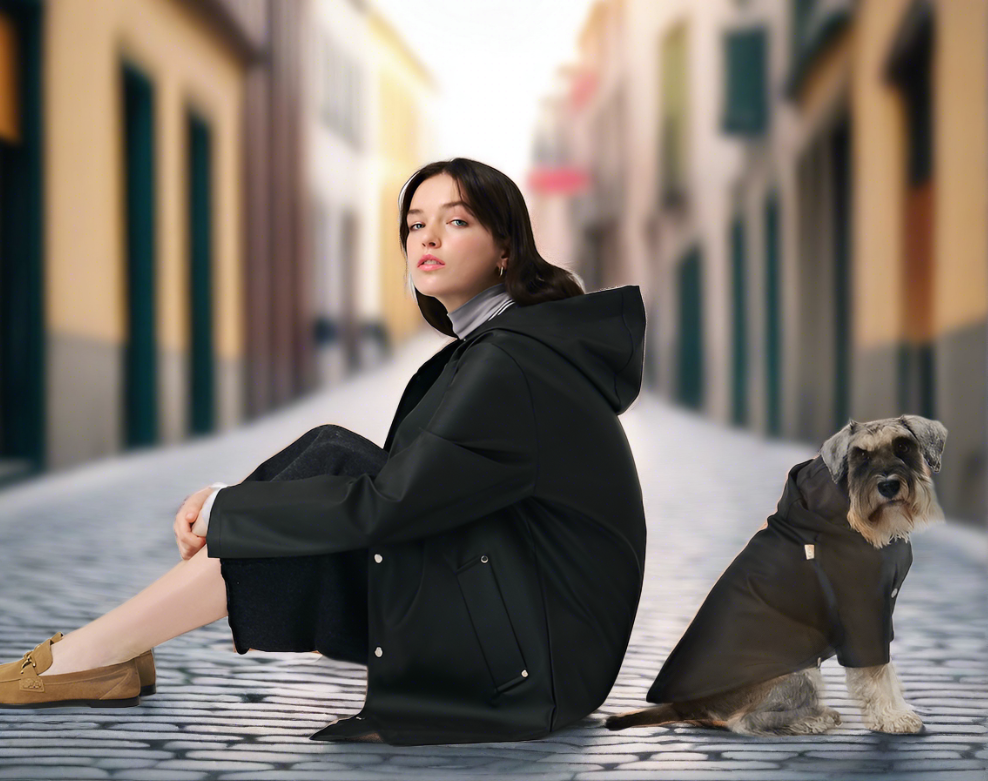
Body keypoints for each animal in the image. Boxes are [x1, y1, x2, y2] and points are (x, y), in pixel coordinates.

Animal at [604, 418, 944, 736]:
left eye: (903, 446)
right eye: (860, 455)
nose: (888, 485)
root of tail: (683, 706)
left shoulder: (881, 612)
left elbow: (888, 672)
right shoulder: (863, 614)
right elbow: (876, 673)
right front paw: (894, 718)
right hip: (796, 671)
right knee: (743, 722)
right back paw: (814, 719)